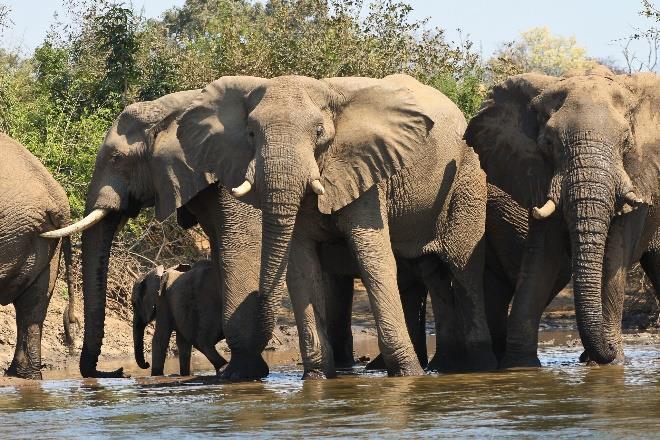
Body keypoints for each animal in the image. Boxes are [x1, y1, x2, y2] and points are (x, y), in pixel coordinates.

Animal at [175, 74, 496, 376]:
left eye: (319, 132)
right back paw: (446, 365)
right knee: (431, 271)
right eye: (251, 133)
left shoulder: (366, 173)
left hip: (467, 173)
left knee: (462, 264)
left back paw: (478, 365)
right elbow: (302, 267)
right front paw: (317, 377)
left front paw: (408, 376)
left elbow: (374, 260)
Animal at [466, 66, 656, 368]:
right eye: (548, 143)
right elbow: (542, 259)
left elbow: (614, 256)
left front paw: (610, 364)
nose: (606, 349)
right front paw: (520, 366)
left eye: (626, 142)